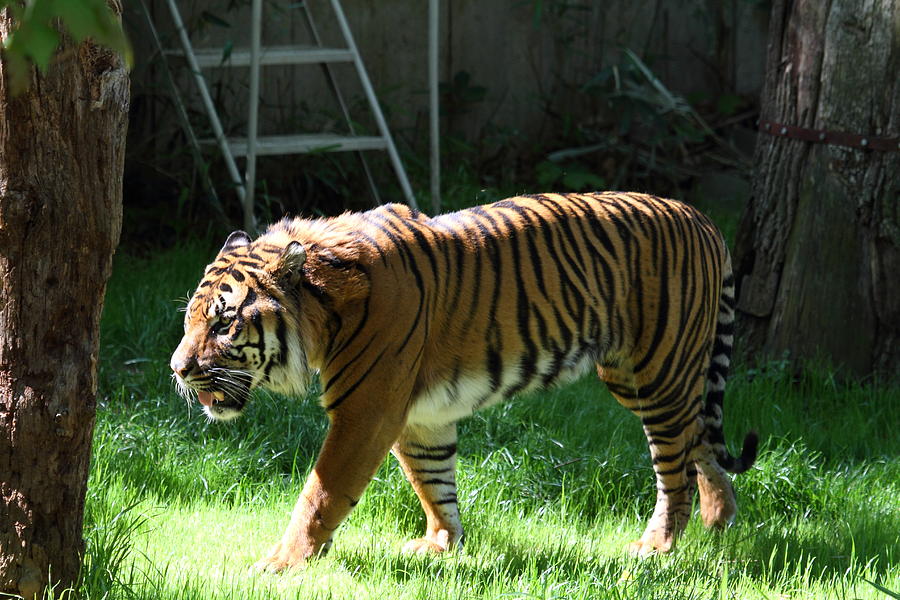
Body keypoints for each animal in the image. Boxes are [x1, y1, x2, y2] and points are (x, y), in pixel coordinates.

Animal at [171, 192, 760, 572]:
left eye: (223, 323)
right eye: (191, 319)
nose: (177, 368)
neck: (325, 310)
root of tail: (704, 219)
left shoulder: (367, 410)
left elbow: (321, 493)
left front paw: (280, 564)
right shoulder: (419, 415)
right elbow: (434, 482)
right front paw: (441, 545)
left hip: (656, 373)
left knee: (674, 467)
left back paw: (657, 547)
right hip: (645, 377)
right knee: (699, 443)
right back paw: (719, 520)